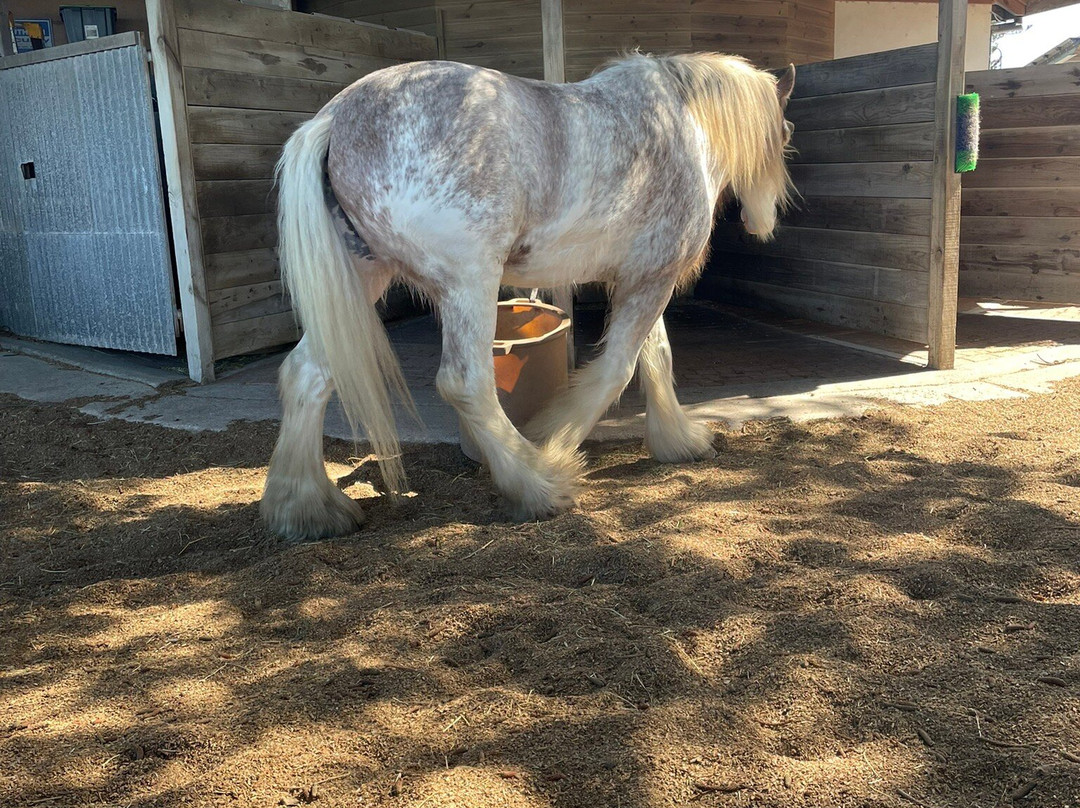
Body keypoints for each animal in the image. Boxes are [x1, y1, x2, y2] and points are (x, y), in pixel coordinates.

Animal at [260, 52, 796, 541]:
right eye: (786, 133)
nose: (764, 220)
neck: (681, 125)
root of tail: (335, 118)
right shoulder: (653, 280)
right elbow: (616, 371)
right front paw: (555, 441)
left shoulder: (640, 278)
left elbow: (656, 359)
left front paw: (679, 441)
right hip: (469, 283)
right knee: (465, 383)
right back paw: (539, 483)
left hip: (360, 282)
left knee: (307, 374)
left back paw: (307, 510)